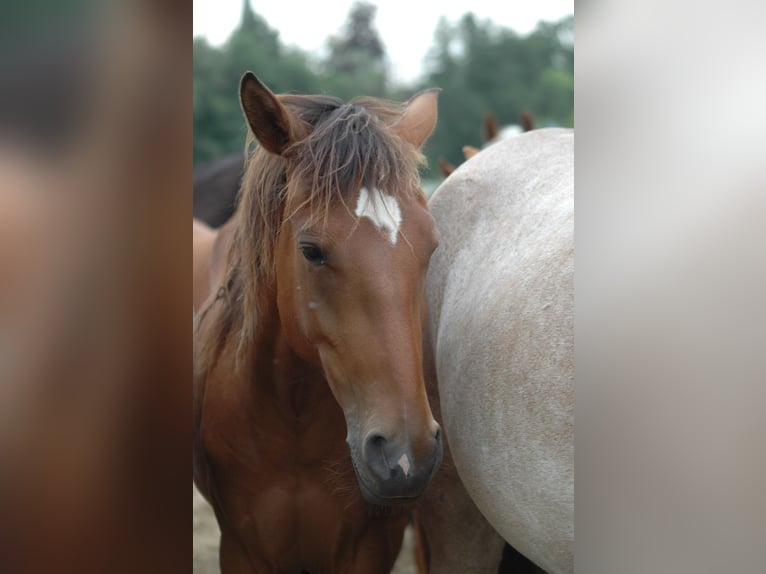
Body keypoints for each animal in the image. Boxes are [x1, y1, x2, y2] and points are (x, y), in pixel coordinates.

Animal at [193, 72, 443, 573]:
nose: (405, 456)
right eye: (311, 250)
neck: (293, 424)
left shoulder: (371, 546)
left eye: (431, 246)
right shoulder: (243, 548)